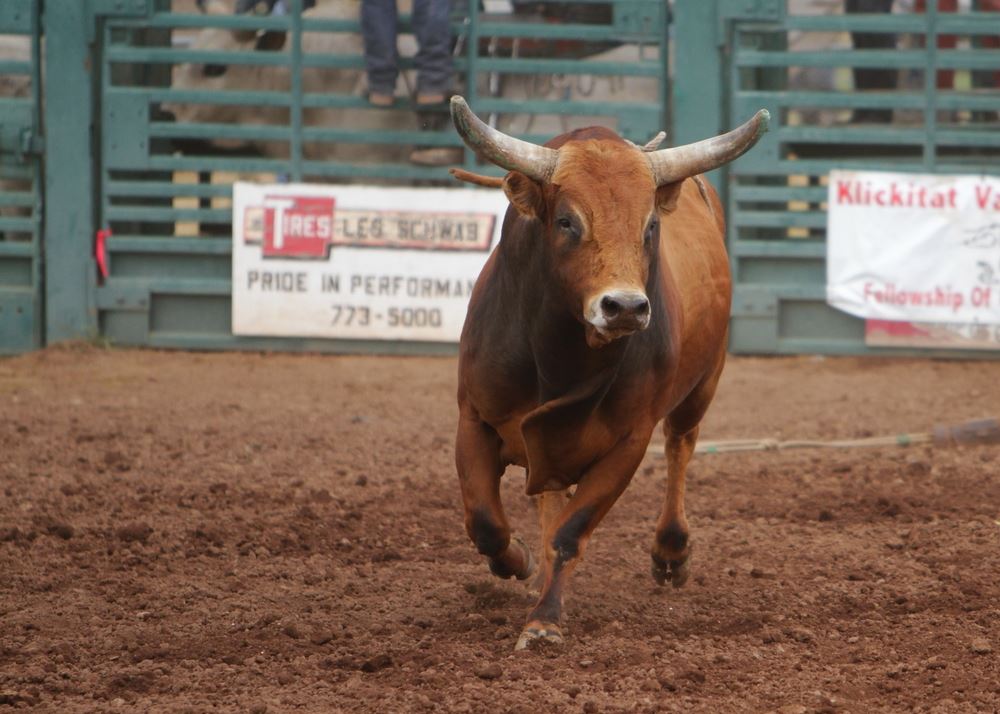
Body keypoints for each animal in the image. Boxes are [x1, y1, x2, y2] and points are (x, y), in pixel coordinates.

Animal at [448, 96, 768, 650]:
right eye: (567, 222)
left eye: (650, 227)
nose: (625, 307)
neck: (560, 355)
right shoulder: (475, 418)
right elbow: (487, 522)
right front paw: (518, 560)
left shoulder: (628, 444)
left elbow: (569, 533)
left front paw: (544, 620)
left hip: (703, 385)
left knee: (681, 446)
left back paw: (671, 551)